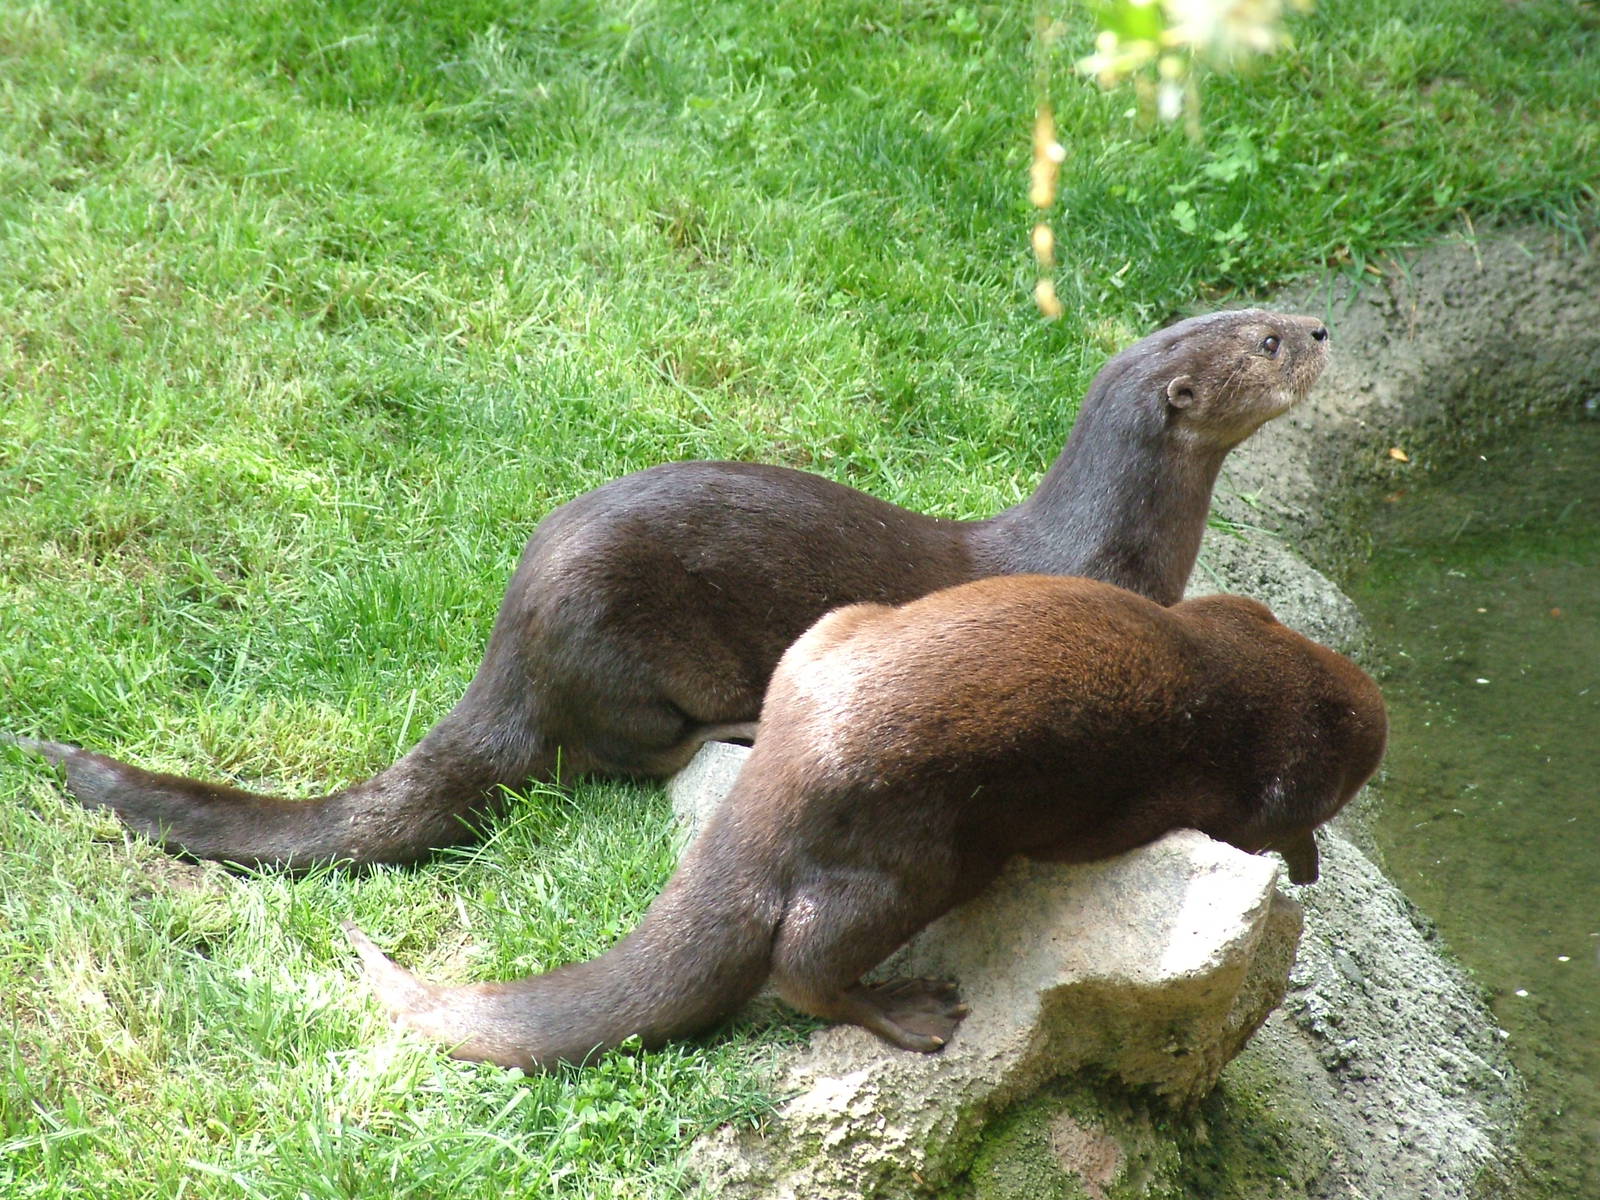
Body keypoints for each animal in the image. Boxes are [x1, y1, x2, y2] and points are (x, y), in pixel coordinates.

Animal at [14, 310, 1330, 868]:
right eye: (1265, 341)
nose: (1323, 324)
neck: (1102, 543)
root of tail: (511, 650)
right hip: (625, 654)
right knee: (628, 755)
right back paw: (737, 728)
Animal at [345, 574, 1387, 1070]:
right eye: (1350, 767)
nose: (1382, 706)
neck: (1235, 680)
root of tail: (779, 780)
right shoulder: (1221, 783)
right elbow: (1257, 827)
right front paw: (1306, 857)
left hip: (830, 631)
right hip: (921, 856)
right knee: (803, 962)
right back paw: (908, 1011)